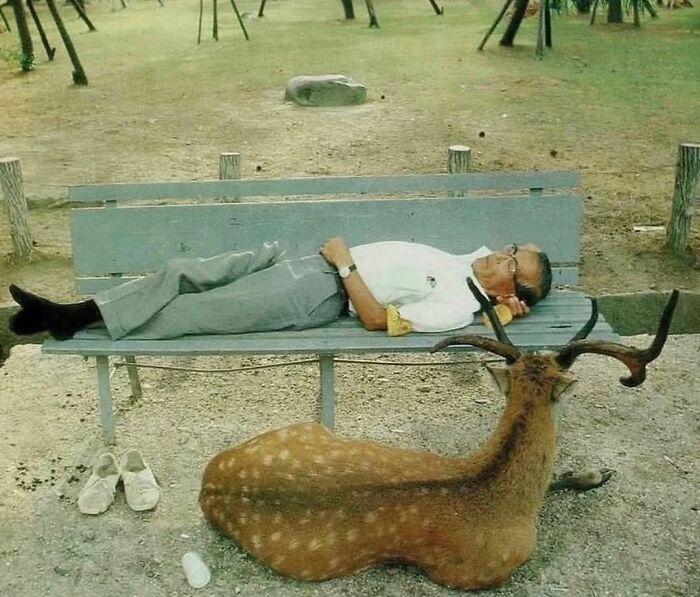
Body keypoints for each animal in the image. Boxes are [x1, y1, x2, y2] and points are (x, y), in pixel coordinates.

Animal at [199, 281, 679, 591]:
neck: (507, 502)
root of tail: (206, 485)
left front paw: (595, 474)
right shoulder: (476, 574)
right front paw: (595, 476)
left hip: (307, 428)